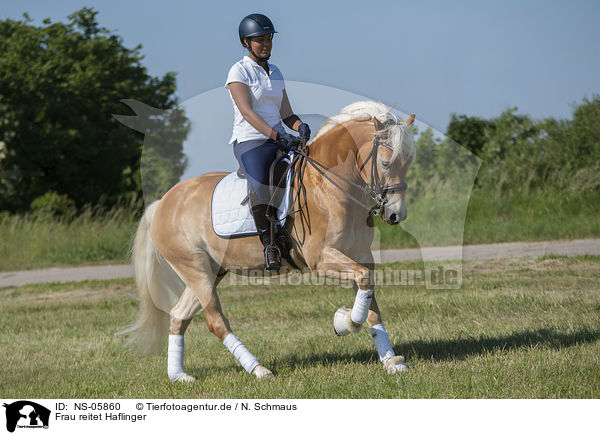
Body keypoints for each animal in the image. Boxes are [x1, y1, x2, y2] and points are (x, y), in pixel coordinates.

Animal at [119, 101, 414, 382]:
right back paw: (258, 370)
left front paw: (391, 361)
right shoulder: (321, 259)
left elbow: (370, 299)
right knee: (215, 321)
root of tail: (163, 203)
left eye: (408, 163)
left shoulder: (360, 256)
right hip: (195, 269)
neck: (328, 186)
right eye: (386, 163)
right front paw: (344, 322)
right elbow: (363, 287)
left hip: (210, 271)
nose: (396, 215)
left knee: (179, 315)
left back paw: (179, 376)